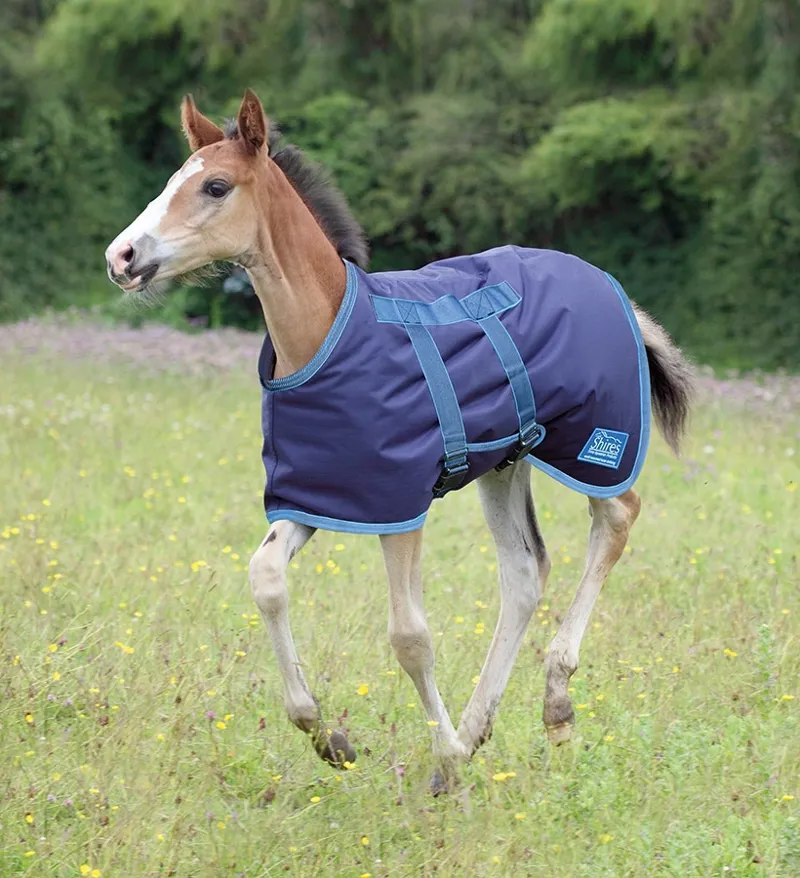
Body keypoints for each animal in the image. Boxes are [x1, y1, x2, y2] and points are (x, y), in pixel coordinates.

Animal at [105, 89, 694, 792]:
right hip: (506, 458)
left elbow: (410, 636)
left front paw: (444, 760)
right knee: (525, 570)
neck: (327, 334)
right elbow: (266, 576)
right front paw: (329, 737)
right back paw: (478, 728)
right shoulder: (322, 494)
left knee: (618, 516)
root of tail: (611, 289)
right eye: (173, 179)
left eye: (214, 186)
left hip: (594, 441)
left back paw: (553, 703)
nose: (121, 257)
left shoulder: (399, 504)